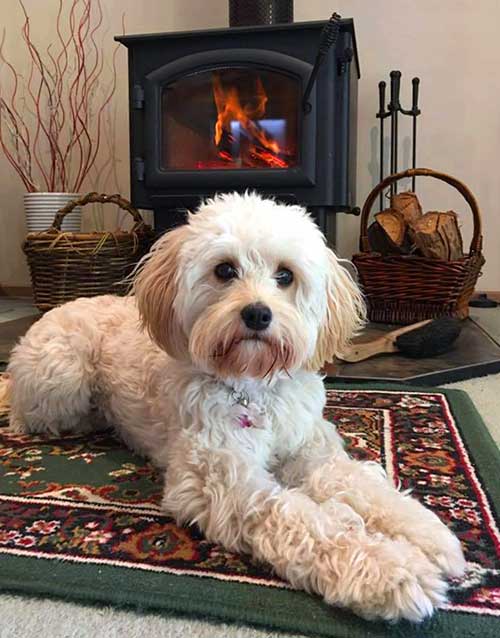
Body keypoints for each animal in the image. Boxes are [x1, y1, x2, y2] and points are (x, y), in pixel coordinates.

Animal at [5, 194, 464, 624]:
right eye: (225, 270)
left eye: (285, 275)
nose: (257, 314)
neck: (255, 387)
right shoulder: (223, 482)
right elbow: (302, 518)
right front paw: (389, 571)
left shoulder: (311, 452)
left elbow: (362, 485)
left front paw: (428, 535)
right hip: (61, 377)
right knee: (25, 414)